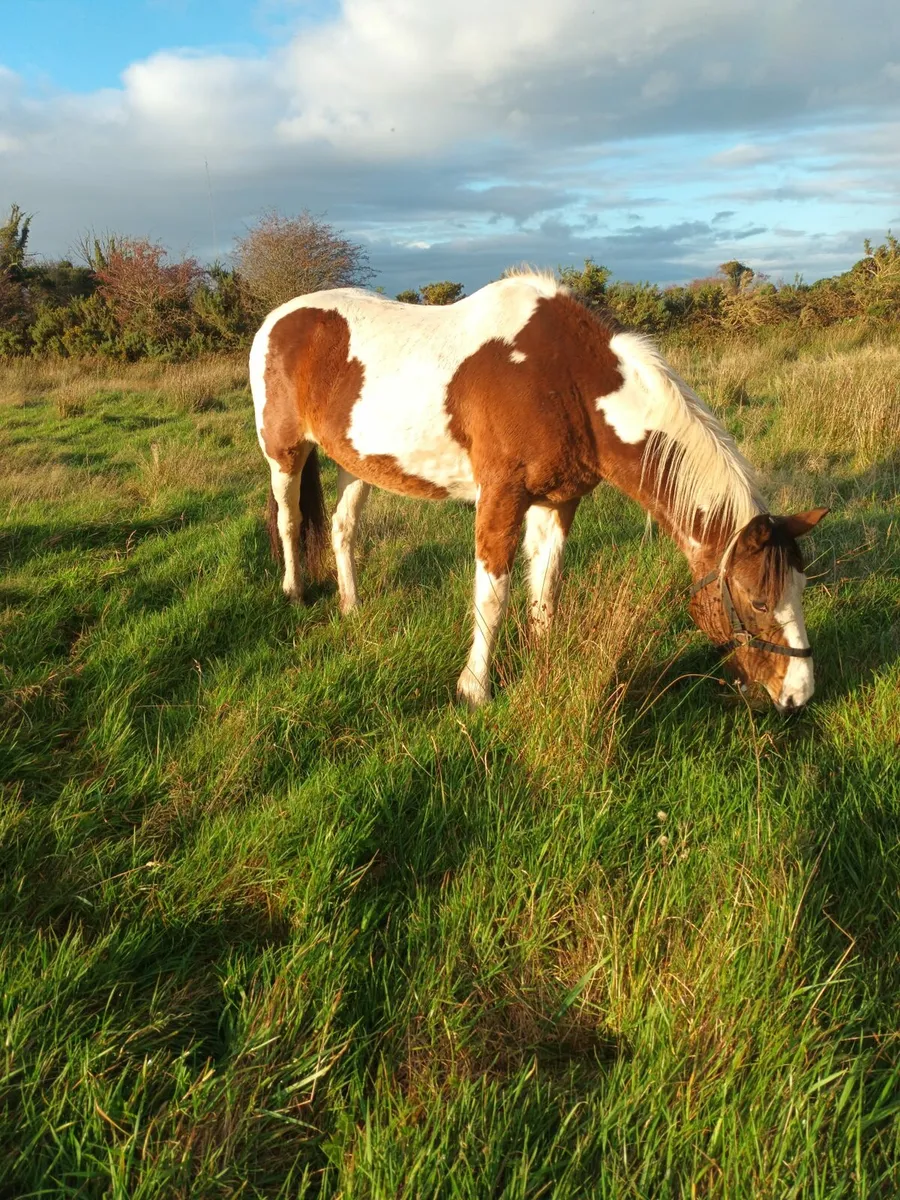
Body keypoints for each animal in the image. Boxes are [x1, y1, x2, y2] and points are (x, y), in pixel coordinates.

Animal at [249, 270, 827, 712]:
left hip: (358, 465)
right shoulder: (501, 497)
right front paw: (474, 690)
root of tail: (278, 319)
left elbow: (546, 584)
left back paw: (351, 606)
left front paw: (543, 658)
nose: (798, 697)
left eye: (800, 587)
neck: (564, 382)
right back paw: (295, 592)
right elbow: (493, 595)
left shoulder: (558, 501)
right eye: (757, 600)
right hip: (284, 454)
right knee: (290, 521)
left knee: (342, 529)